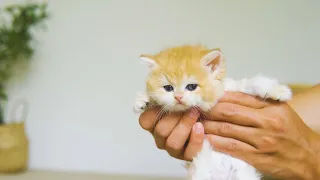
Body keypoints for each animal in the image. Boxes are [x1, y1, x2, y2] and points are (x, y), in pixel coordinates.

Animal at [132, 44, 292, 180]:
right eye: (168, 88)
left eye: (191, 87)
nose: (178, 97)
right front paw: (143, 100)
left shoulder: (231, 88)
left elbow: (251, 82)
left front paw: (279, 91)